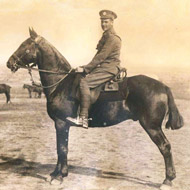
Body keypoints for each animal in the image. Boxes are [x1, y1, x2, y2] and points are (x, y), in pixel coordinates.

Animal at [6, 28, 183, 190]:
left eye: (25, 45)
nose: (9, 63)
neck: (61, 83)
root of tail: (163, 86)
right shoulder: (61, 125)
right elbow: (60, 148)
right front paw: (55, 174)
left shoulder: (61, 123)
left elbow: (62, 149)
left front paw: (60, 176)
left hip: (151, 126)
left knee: (165, 147)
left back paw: (167, 181)